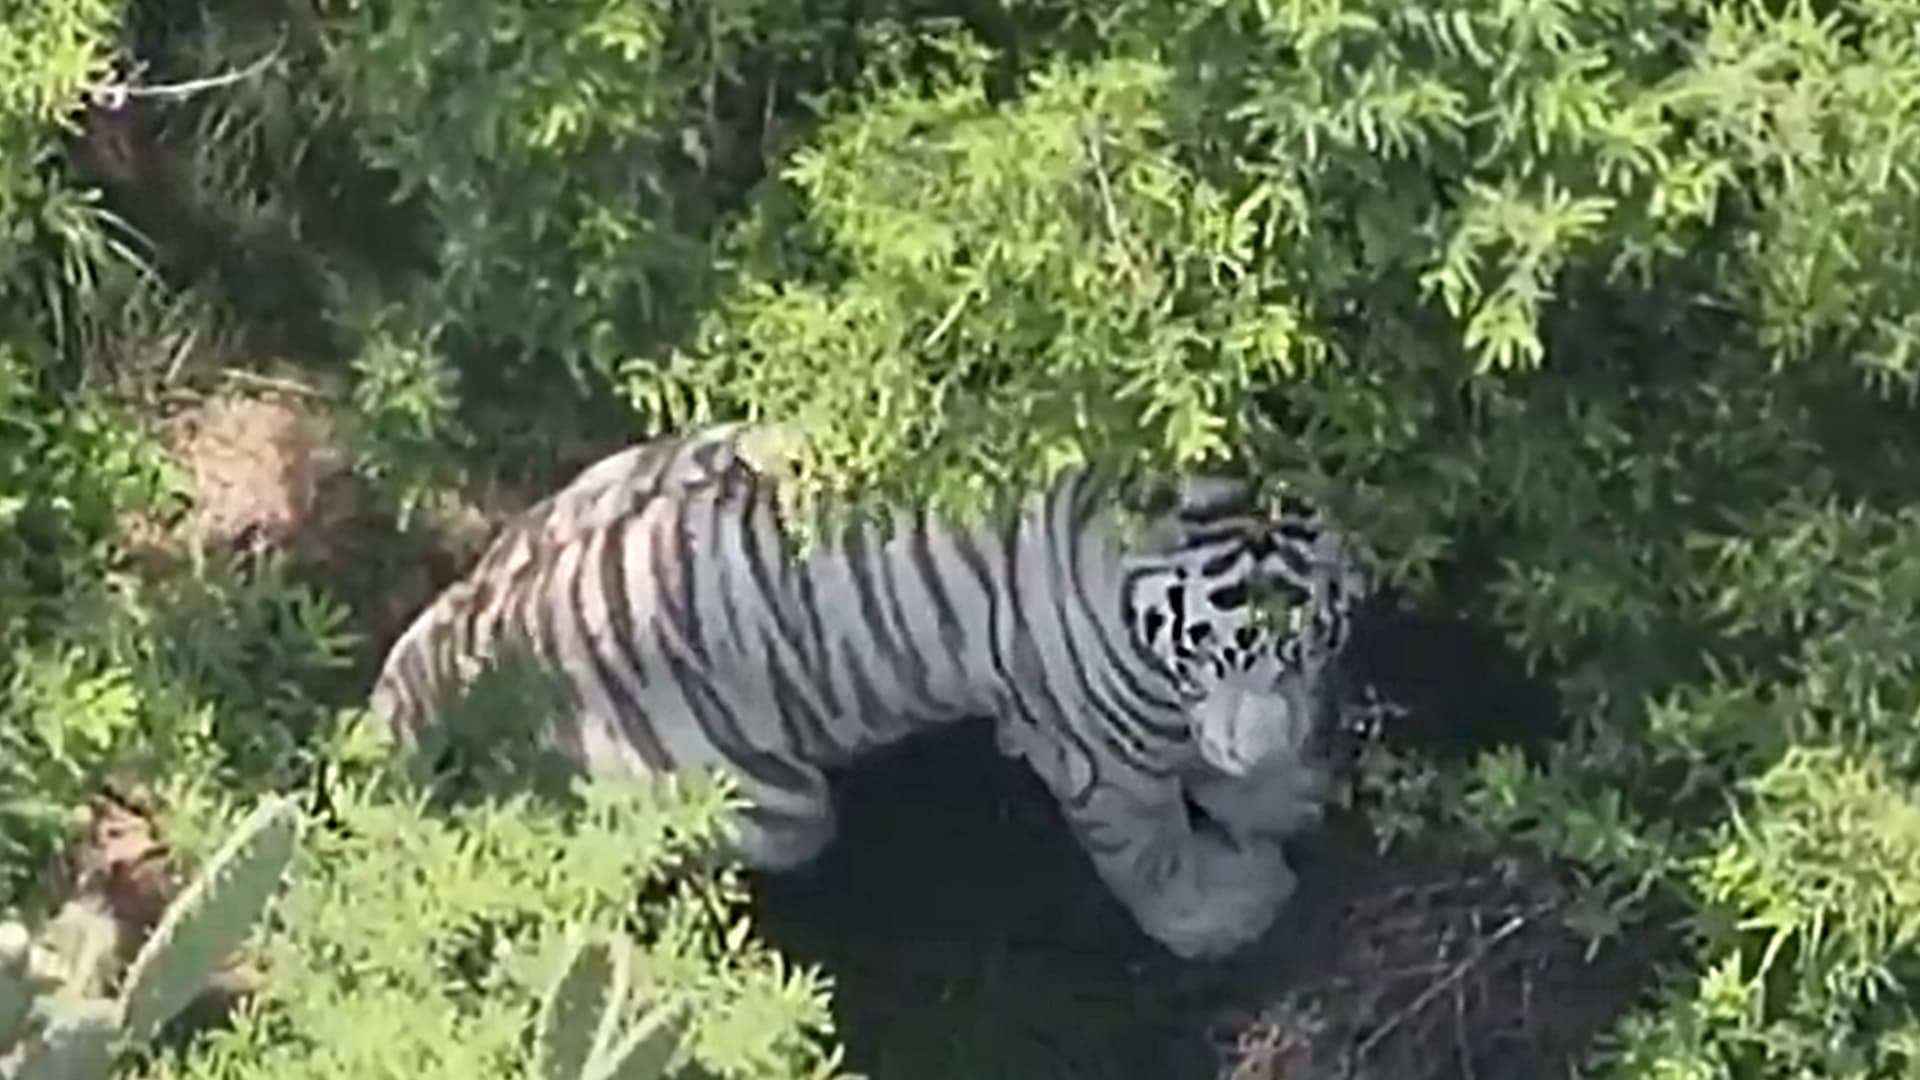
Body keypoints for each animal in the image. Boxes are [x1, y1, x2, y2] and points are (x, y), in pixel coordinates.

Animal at [368, 422, 1372, 960]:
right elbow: (1154, 852)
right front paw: (1228, 913)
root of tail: (472, 620)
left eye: (1308, 641)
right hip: (769, 807)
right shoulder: (1098, 752)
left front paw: (1282, 793)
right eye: (1212, 650)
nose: (1259, 742)